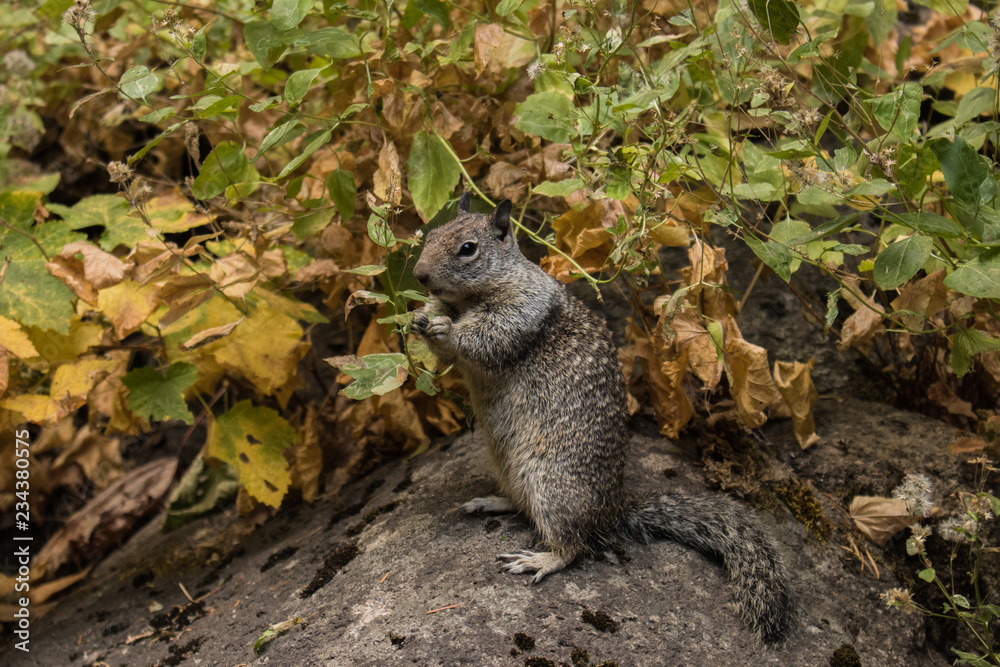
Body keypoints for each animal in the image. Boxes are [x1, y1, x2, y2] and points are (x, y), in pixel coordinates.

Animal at [411, 195, 796, 644]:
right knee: (523, 505)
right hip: (511, 468)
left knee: (574, 545)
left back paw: (539, 560)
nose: (419, 275)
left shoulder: (521, 312)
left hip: (552, 485)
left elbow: (486, 337)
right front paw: (419, 318)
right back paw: (492, 501)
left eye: (468, 248)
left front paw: (445, 328)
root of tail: (612, 509)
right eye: (431, 236)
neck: (468, 299)